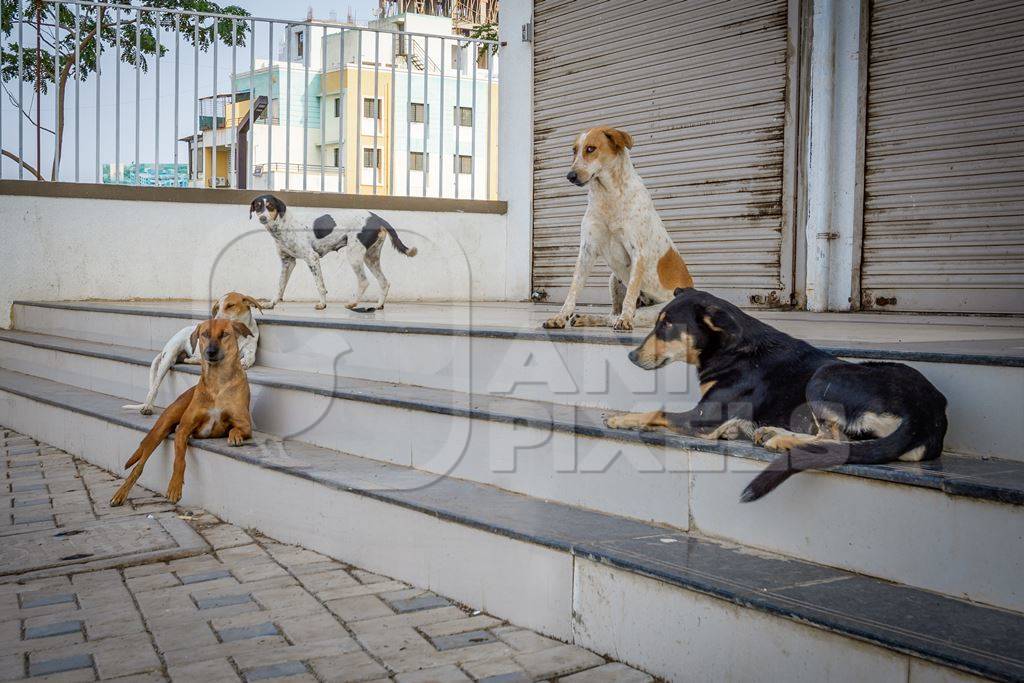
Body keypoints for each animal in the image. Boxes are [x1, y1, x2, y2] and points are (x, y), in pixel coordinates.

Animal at [109, 317, 253, 505]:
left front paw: (235, 436)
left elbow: (236, 428)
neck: (217, 383)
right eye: (205, 334)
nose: (210, 352)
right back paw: (120, 494)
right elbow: (179, 460)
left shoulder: (245, 424)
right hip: (160, 428)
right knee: (138, 466)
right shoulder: (183, 429)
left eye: (224, 334)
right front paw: (174, 487)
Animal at [249, 192, 417, 309]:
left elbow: (320, 285)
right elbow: (280, 286)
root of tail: (377, 218)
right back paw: (378, 305)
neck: (283, 225)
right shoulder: (287, 262)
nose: (263, 218)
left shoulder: (312, 258)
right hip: (371, 258)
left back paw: (353, 303)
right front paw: (271, 304)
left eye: (270, 206)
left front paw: (323, 305)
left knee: (364, 282)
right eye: (258, 206)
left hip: (354, 255)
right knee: (384, 282)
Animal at [540, 127, 692, 333]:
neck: (608, 194)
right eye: (574, 150)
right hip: (614, 278)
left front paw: (625, 320)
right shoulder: (587, 250)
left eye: (590, 148)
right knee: (612, 313)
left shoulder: (638, 252)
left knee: (627, 314)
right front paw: (560, 317)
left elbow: (631, 296)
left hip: (656, 310)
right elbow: (573, 289)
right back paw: (587, 318)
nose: (570, 176)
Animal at [602, 286, 946, 501]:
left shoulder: (702, 417)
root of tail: (927, 415)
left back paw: (779, 439)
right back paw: (771, 432)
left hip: (823, 377)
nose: (630, 356)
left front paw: (620, 418)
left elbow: (656, 410)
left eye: (668, 327)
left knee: (834, 440)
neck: (732, 349)